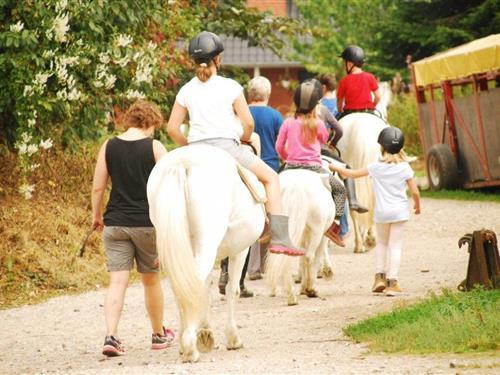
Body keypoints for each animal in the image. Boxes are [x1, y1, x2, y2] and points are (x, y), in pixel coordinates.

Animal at [146, 143, 266, 362]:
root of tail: (182, 163)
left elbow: (205, 288)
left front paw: (205, 333)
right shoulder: (240, 250)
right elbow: (232, 290)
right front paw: (232, 338)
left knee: (183, 287)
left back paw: (185, 343)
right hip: (207, 245)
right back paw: (189, 348)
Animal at [266, 170, 336, 306]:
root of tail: (295, 186)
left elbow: (301, 260)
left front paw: (303, 288)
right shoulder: (322, 236)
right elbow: (313, 258)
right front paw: (309, 288)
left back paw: (291, 295)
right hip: (317, 231)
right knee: (310, 256)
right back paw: (309, 290)